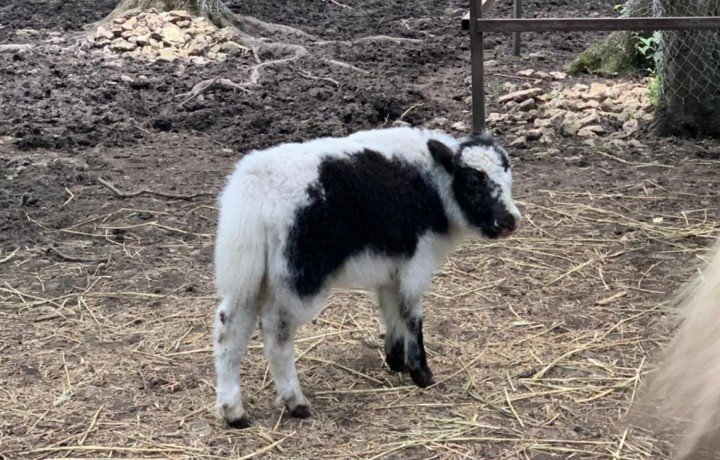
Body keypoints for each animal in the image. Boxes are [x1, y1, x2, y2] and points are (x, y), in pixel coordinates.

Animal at [211, 126, 520, 428]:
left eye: (507, 177)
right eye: (474, 183)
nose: (511, 221)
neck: (432, 184)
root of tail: (256, 185)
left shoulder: (391, 270)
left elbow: (391, 310)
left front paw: (395, 360)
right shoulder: (416, 263)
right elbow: (412, 315)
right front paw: (421, 374)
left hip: (250, 276)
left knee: (230, 329)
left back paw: (234, 412)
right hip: (298, 277)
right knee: (276, 333)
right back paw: (295, 402)